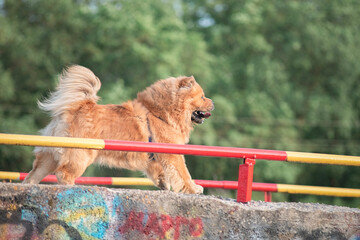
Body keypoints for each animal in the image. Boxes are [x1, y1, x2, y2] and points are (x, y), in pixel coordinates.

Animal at [23, 65, 214, 193]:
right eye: (202, 97)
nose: (212, 103)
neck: (160, 113)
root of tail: (78, 107)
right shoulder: (172, 153)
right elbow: (183, 174)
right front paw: (194, 188)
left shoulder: (154, 158)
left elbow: (159, 172)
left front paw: (163, 184)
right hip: (81, 154)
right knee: (64, 173)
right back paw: (73, 188)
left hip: (50, 155)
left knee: (35, 173)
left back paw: (28, 186)